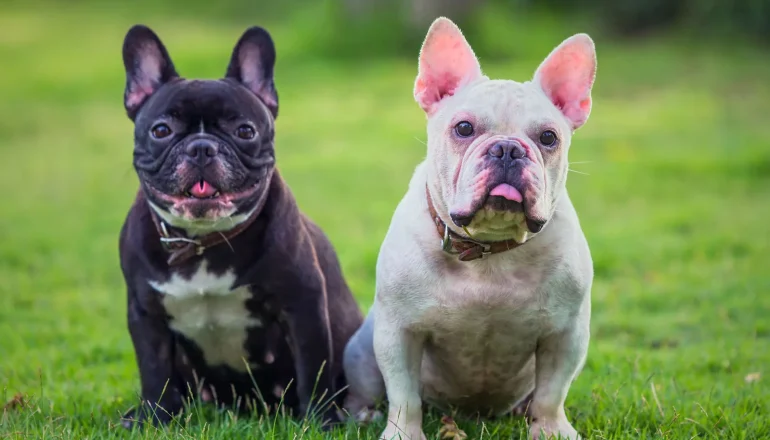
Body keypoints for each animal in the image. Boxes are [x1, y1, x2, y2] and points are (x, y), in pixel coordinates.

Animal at [118, 24, 364, 430]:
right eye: (161, 130)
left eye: (245, 131)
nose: (201, 147)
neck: (204, 241)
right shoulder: (146, 313)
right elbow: (154, 372)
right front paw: (155, 418)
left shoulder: (303, 305)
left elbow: (313, 369)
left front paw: (320, 422)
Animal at [340, 18, 592, 440]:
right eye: (463, 128)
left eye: (548, 138)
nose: (507, 148)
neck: (489, 248)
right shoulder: (399, 332)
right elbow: (403, 395)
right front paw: (403, 434)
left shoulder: (566, 335)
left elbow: (551, 393)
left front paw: (552, 430)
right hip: (362, 349)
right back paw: (363, 414)